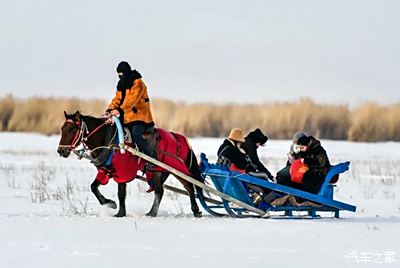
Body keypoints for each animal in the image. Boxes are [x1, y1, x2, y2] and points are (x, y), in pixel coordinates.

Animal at [57, 111, 203, 218]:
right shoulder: (105, 171)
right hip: (157, 170)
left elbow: (121, 193)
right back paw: (152, 213)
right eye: (62, 128)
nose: (61, 150)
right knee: (159, 191)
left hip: (177, 169)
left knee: (189, 187)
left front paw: (120, 213)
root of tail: (180, 138)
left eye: (71, 129)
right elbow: (93, 187)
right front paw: (109, 203)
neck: (109, 142)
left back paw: (196, 210)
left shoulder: (123, 171)